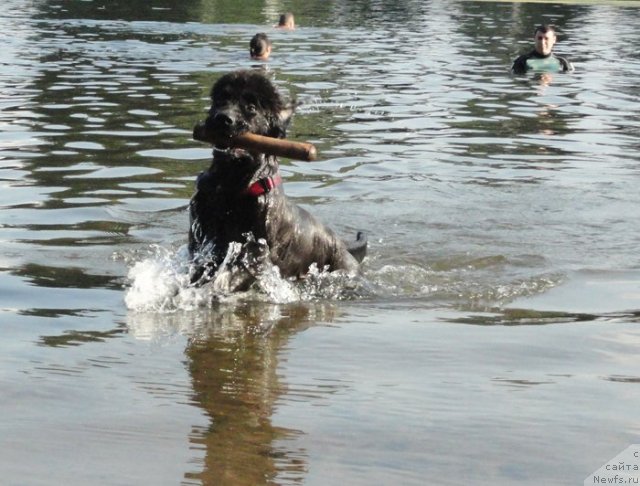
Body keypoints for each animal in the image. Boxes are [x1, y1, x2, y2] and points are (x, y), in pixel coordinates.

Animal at [188, 68, 364, 288]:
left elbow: (238, 270)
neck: (231, 185)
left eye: (251, 108)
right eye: (221, 100)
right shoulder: (200, 236)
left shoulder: (257, 246)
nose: (222, 118)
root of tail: (341, 243)